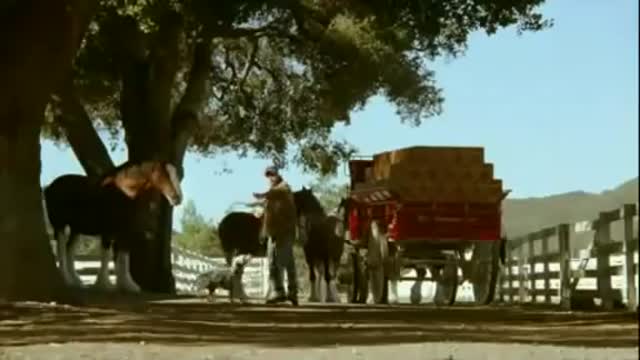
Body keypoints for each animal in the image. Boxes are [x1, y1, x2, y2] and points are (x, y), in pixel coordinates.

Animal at [43, 160, 182, 292]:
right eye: (165, 174)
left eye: (178, 175)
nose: (178, 198)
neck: (124, 193)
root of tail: (50, 186)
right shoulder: (107, 231)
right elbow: (107, 256)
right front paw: (103, 285)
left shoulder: (126, 232)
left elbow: (123, 257)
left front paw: (128, 285)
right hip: (59, 224)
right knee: (61, 248)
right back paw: (66, 280)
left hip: (76, 229)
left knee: (69, 250)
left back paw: (77, 282)